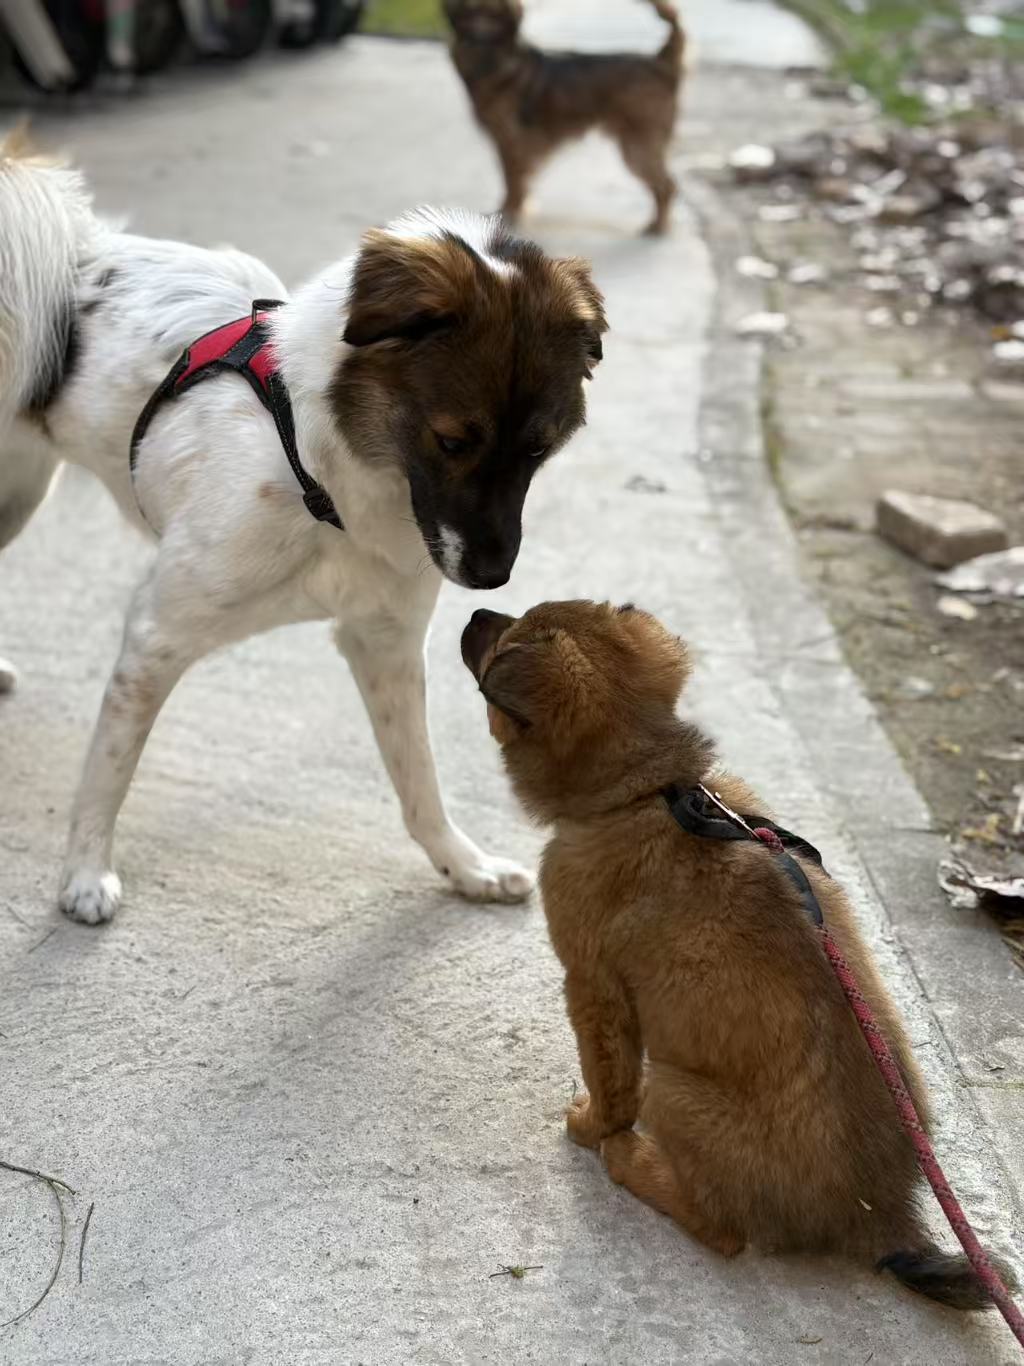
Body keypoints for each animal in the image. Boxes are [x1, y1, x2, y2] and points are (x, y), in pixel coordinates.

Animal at [0, 131, 606, 924]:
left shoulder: (384, 642)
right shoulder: (155, 636)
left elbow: (420, 784)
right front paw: (84, 872)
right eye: (452, 441)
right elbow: (111, 767)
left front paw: (463, 866)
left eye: (539, 448)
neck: (319, 476)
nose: (491, 576)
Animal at [444, 0, 685, 235]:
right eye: (469, 14)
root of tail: (660, 63)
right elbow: (518, 181)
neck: (496, 62)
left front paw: (509, 212)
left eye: (494, 15)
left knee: (668, 185)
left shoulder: (511, 142)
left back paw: (659, 226)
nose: (475, 39)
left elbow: (511, 181)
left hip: (637, 147)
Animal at [462, 599, 1012, 1310]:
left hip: (672, 1090)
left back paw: (633, 1161)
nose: (477, 607)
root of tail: (883, 1215)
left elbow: (608, 1082)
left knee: (720, 1229)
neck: (648, 792)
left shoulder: (593, 988)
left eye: (504, 638)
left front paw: (590, 1129)